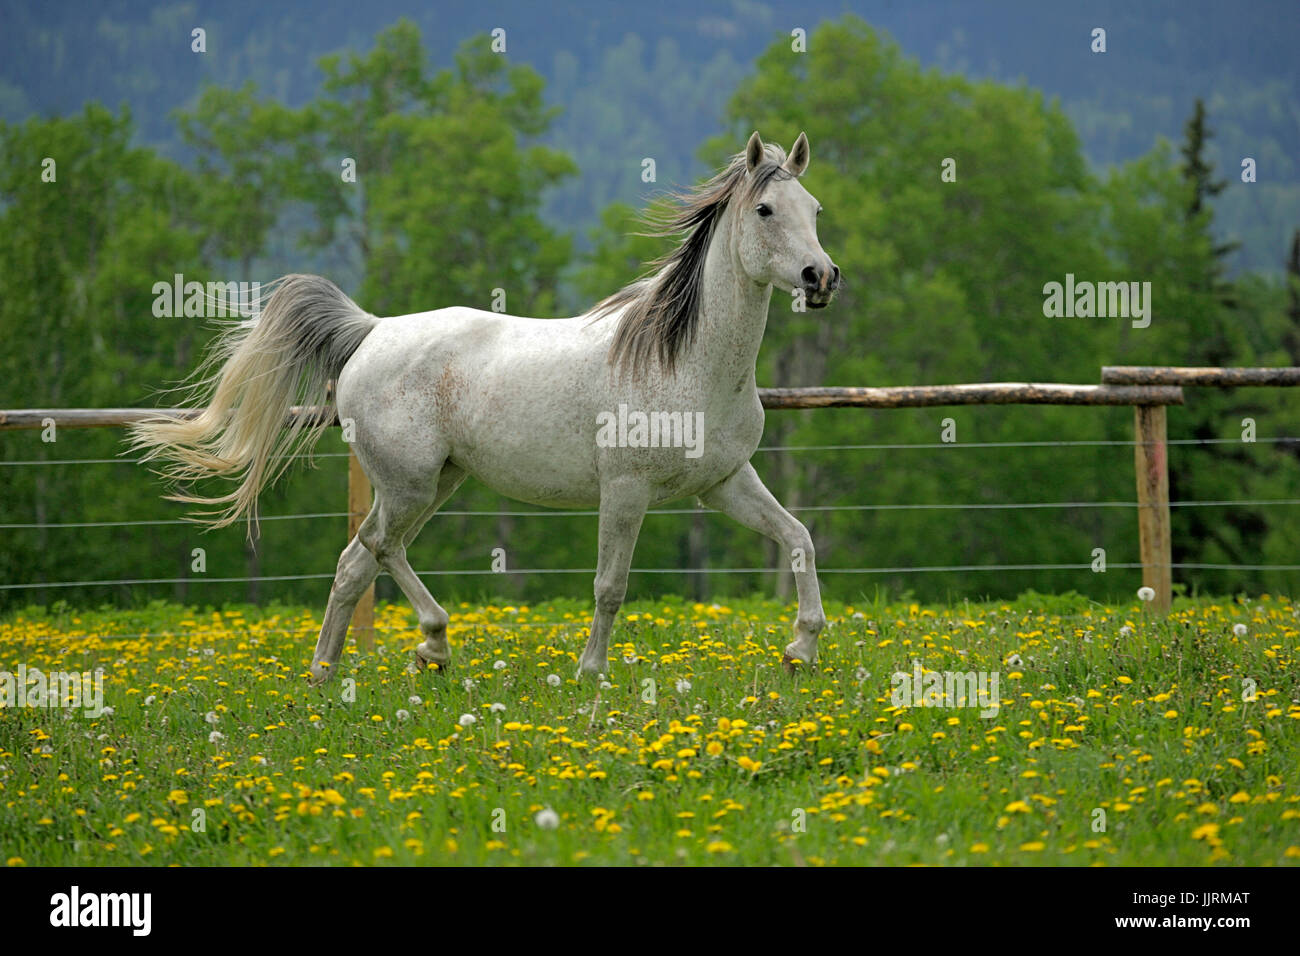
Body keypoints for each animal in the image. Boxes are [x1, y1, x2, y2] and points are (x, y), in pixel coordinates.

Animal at [131, 132, 842, 681]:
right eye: (766, 210)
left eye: (814, 207)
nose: (822, 278)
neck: (687, 363)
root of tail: (371, 331)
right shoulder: (626, 489)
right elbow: (609, 586)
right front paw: (590, 673)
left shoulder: (724, 483)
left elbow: (799, 538)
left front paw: (802, 648)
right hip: (412, 485)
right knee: (379, 547)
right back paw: (433, 644)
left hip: (432, 484)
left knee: (355, 562)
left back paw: (326, 676)